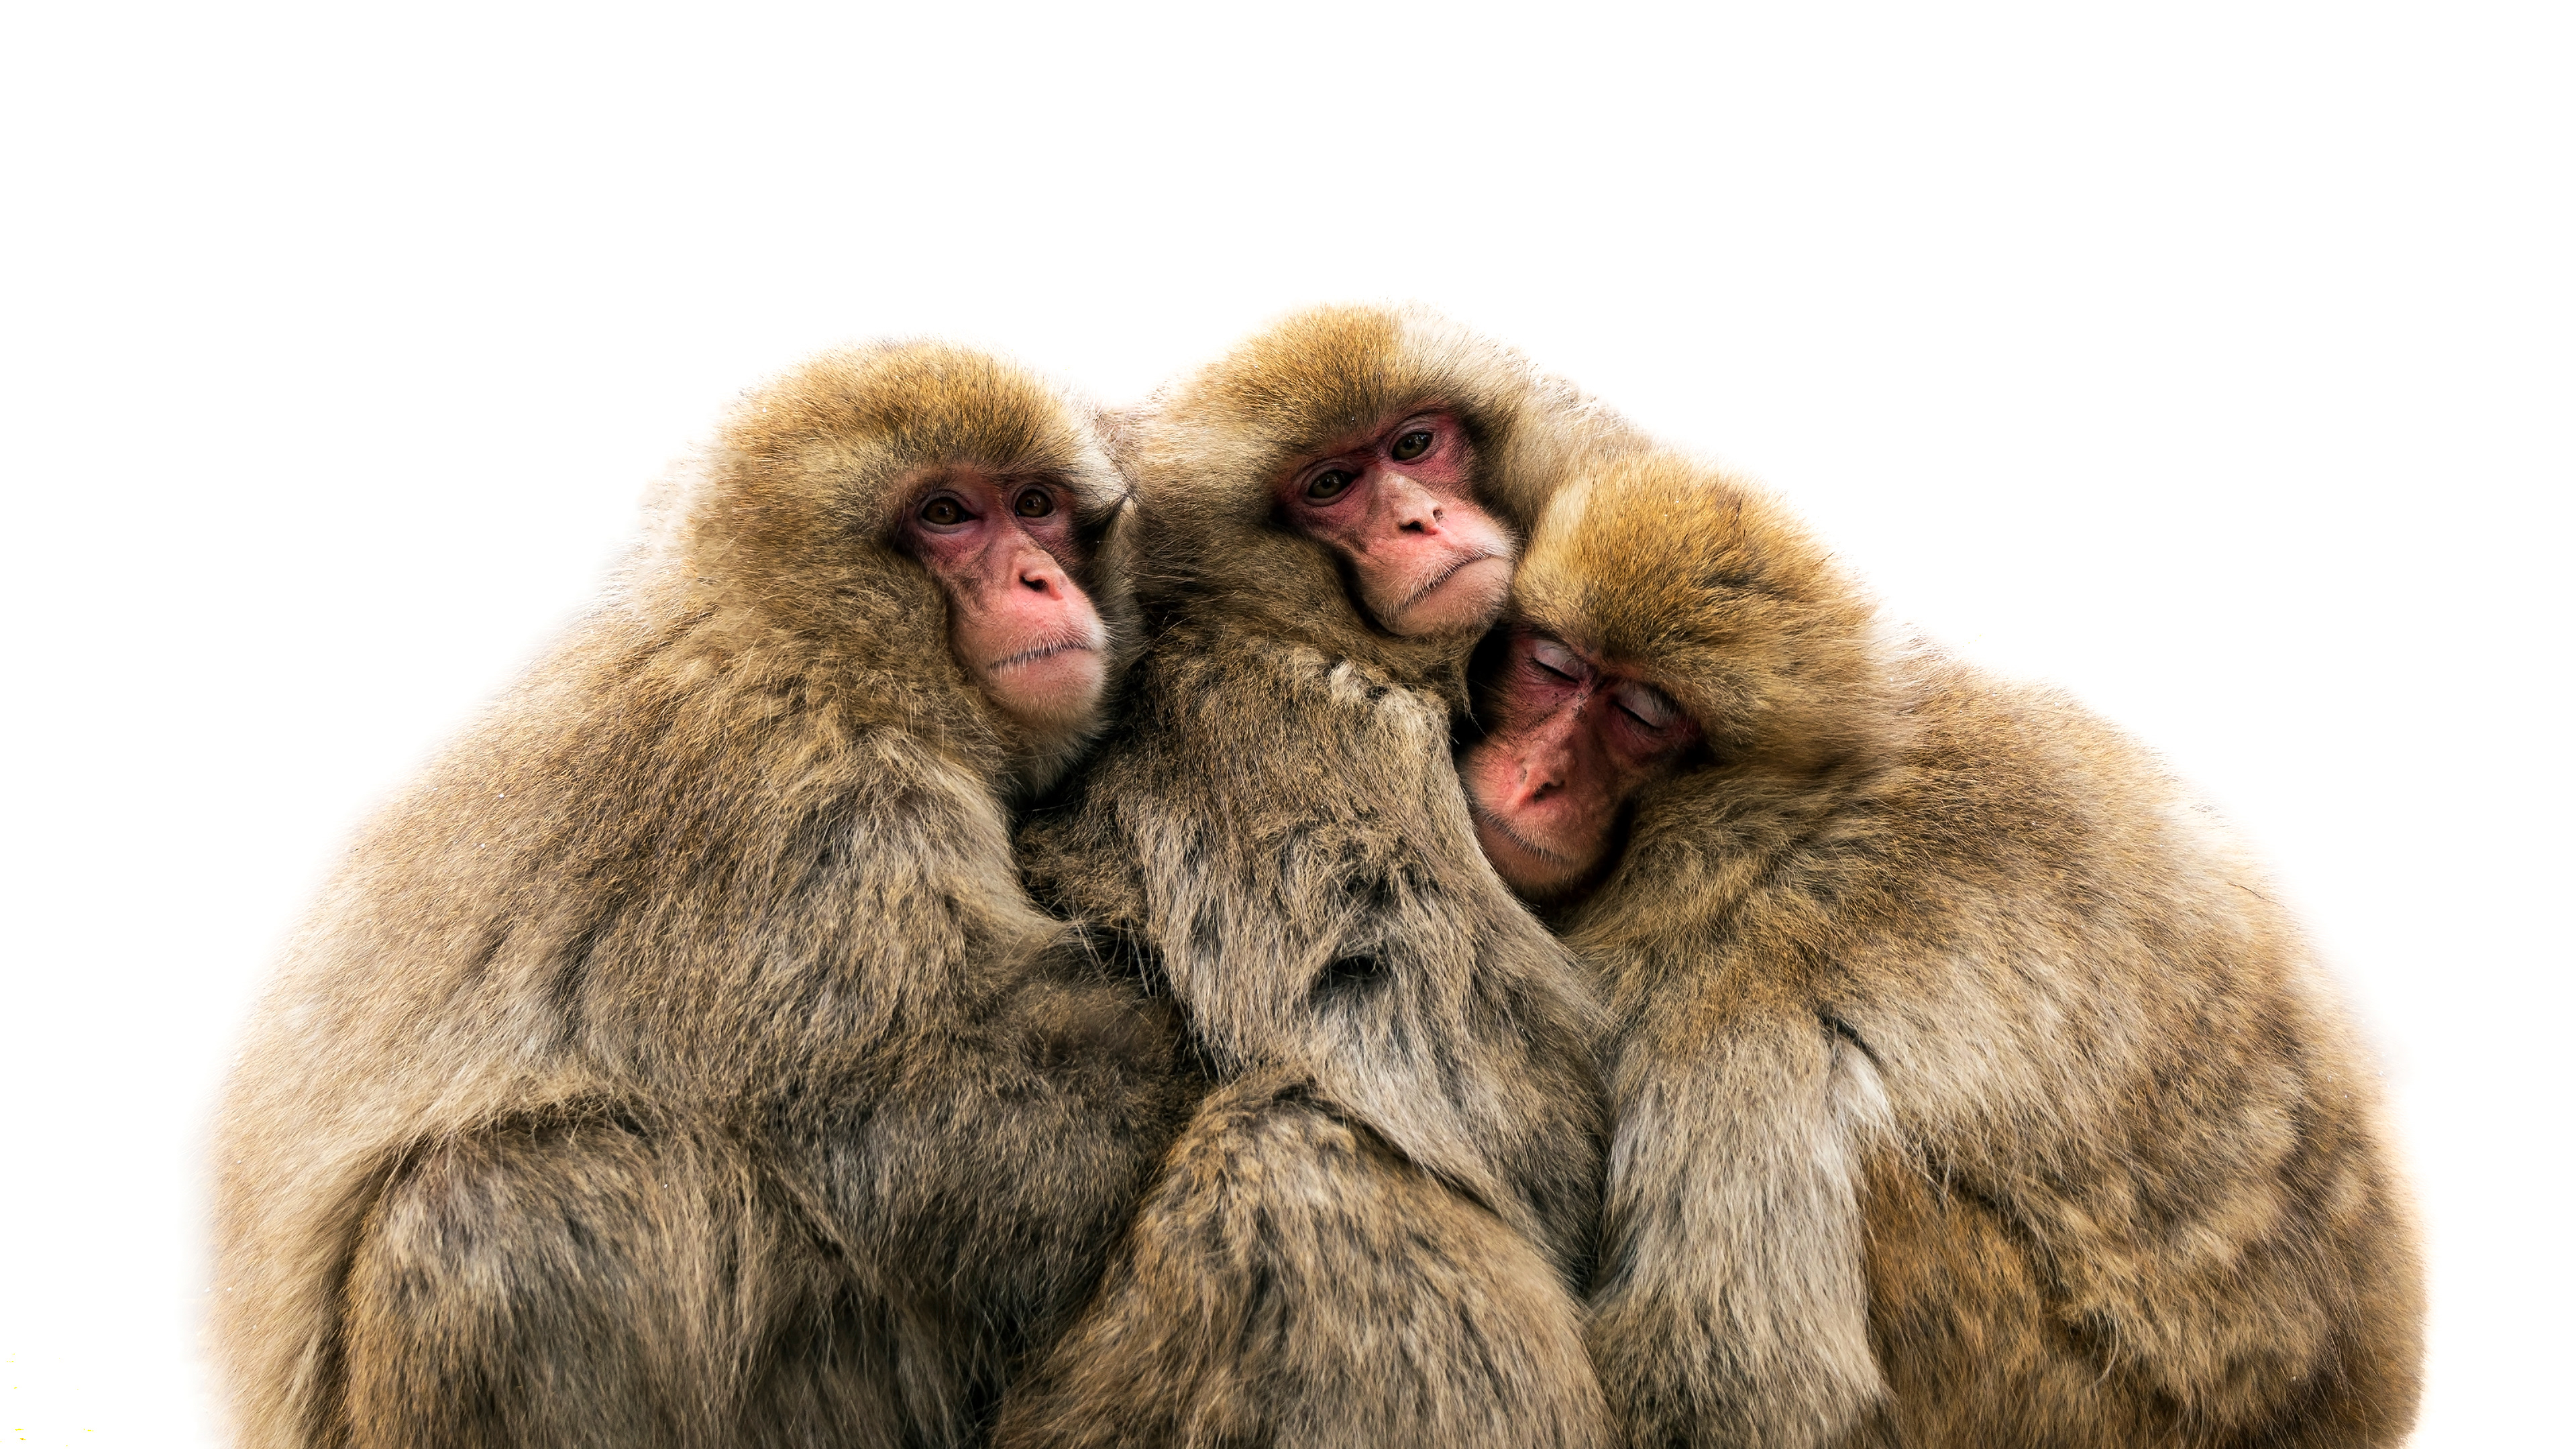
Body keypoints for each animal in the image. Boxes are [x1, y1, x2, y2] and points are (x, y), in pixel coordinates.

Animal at [208, 343, 1202, 1449]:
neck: (795, 646)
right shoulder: (818, 813)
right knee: (495, 1224)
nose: (1040, 577)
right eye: (946, 514)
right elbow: (987, 1140)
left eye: (1035, 506)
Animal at [986, 305, 1645, 1448]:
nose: (1422, 519)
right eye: (1332, 486)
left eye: (1417, 444)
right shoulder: (1325, 731)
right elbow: (1465, 1086)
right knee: (1298, 1164)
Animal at [1458, 450, 2426, 1448]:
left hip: (2070, 1402)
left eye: (1645, 714)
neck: (1778, 834)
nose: (1538, 777)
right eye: (1554, 664)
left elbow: (1737, 1384)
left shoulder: (1735, 1016)